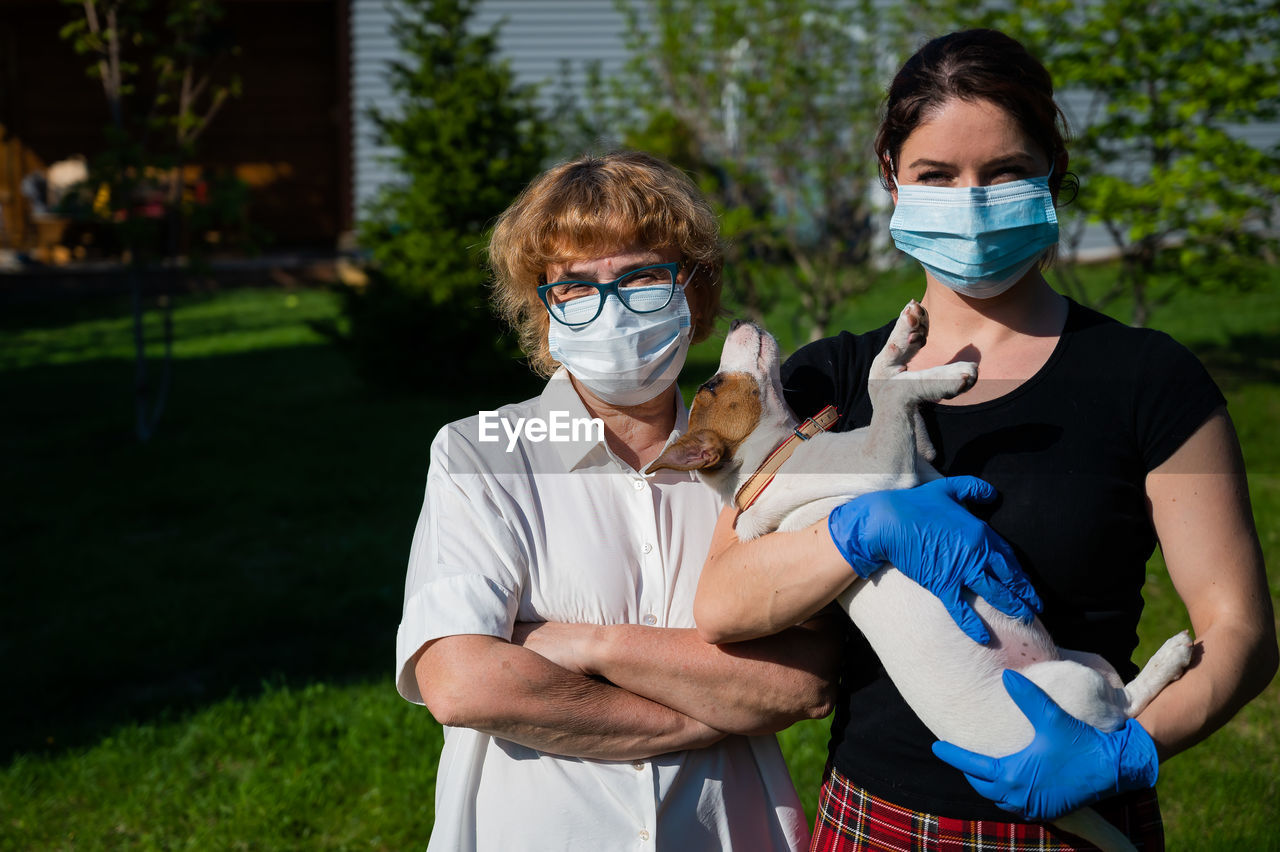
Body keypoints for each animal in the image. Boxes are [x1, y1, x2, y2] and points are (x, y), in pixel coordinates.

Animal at [650, 303, 1187, 849]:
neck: (770, 463)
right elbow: (883, 391)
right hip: (1071, 693)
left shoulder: (915, 458)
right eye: (713, 384)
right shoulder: (888, 467)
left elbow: (883, 382)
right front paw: (950, 374)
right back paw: (1173, 657)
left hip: (1087, 661)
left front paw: (906, 342)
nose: (738, 318)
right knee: (1122, 720)